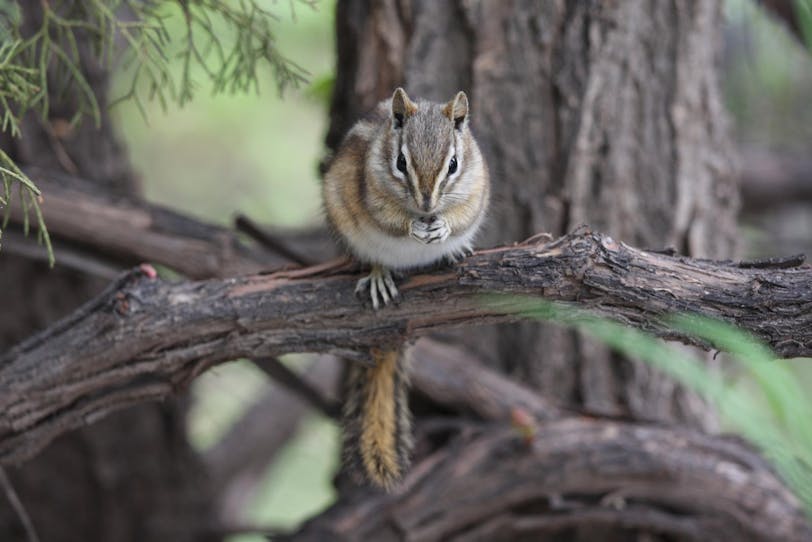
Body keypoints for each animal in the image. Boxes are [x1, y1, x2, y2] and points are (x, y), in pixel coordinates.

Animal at [323, 87, 490, 490]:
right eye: (400, 162)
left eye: (454, 165)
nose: (427, 204)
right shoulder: (371, 189)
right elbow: (389, 218)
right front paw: (413, 227)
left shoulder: (476, 185)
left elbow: (462, 214)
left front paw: (445, 229)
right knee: (373, 257)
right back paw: (380, 274)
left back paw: (453, 250)